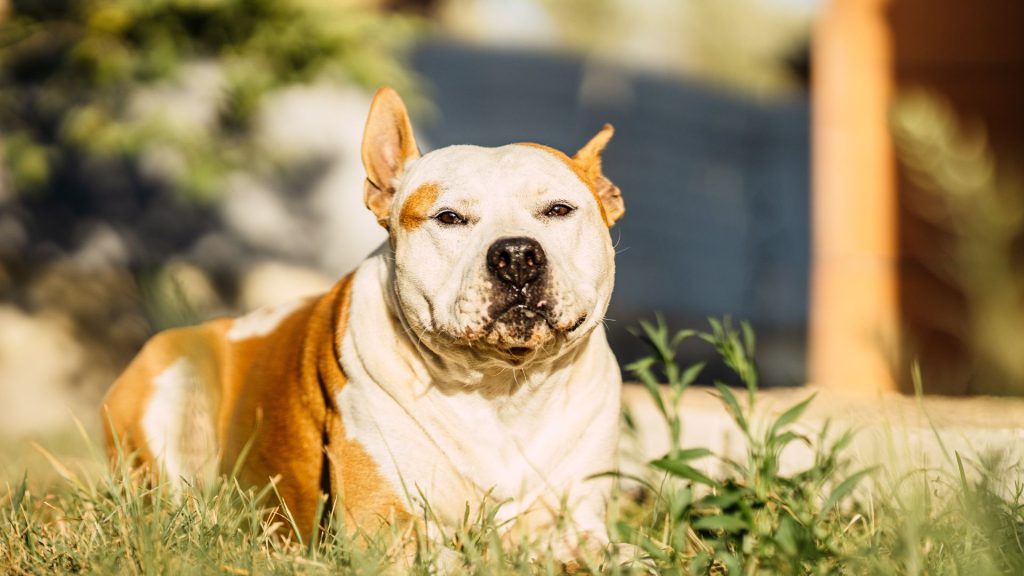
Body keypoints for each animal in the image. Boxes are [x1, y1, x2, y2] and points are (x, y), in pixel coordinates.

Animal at [103, 87, 626, 557]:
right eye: (449, 217)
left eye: (558, 210)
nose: (517, 255)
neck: (503, 389)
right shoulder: (381, 525)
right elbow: (449, 557)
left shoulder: (581, 521)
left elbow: (615, 554)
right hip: (172, 367)